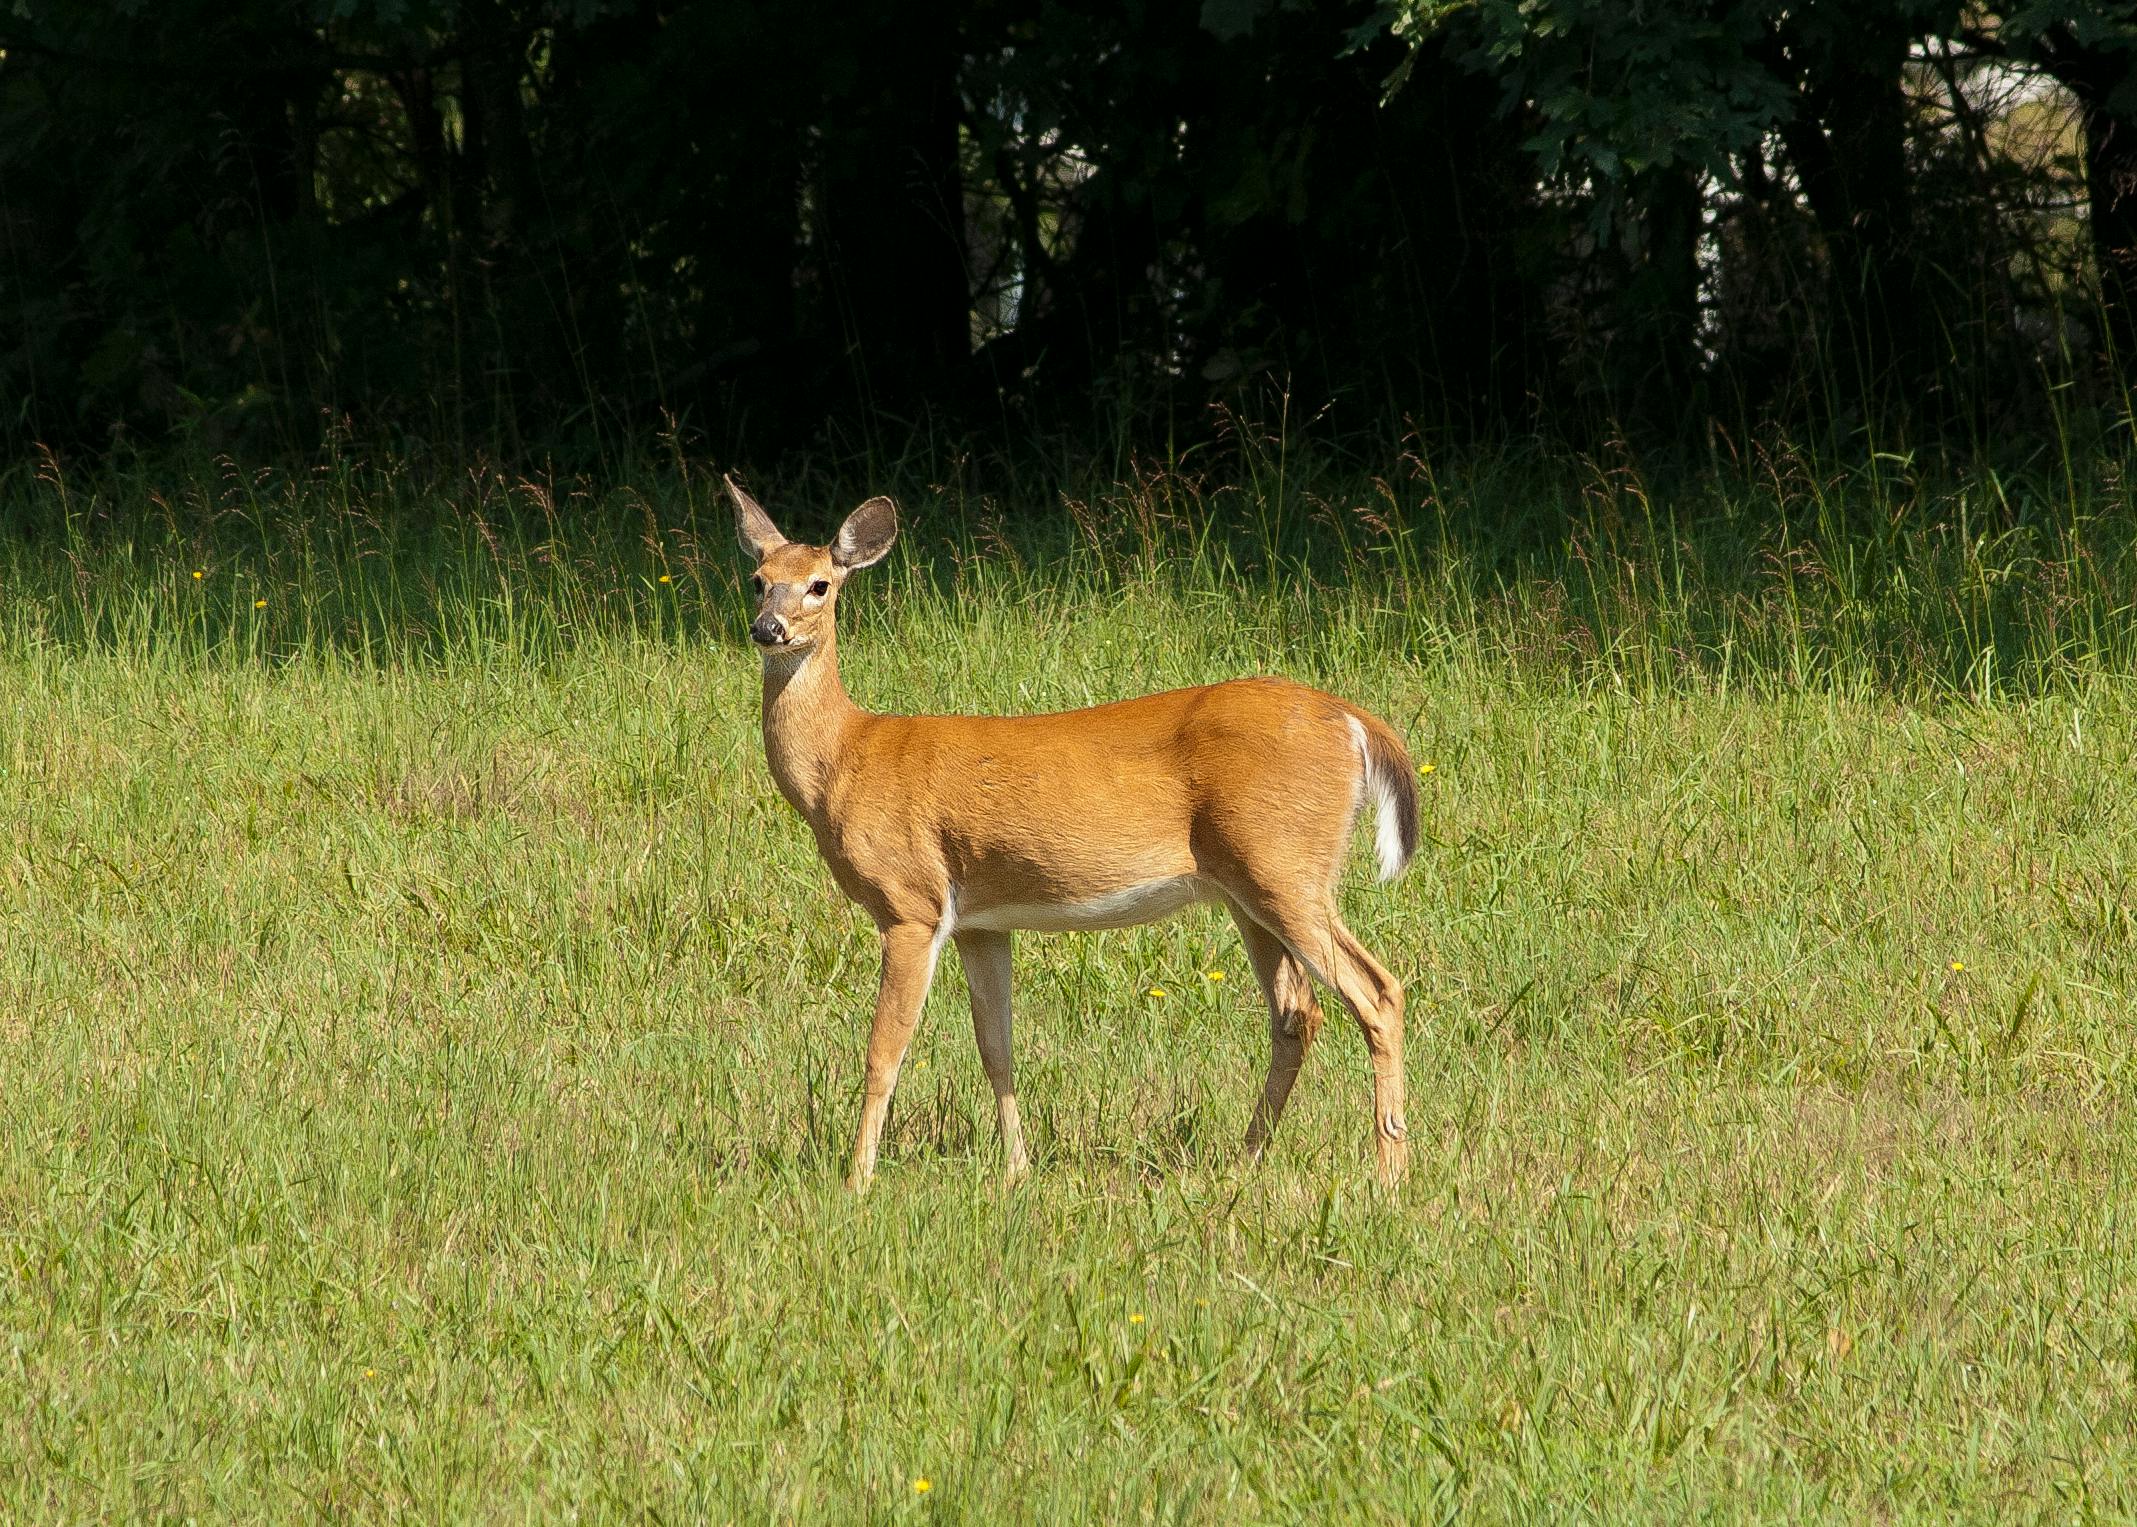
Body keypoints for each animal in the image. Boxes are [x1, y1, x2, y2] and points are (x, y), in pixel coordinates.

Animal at [730, 478, 1418, 1195]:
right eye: (757, 580)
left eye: (819, 585)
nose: (767, 628)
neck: (845, 758)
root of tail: (1355, 721)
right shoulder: (980, 920)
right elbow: (995, 1046)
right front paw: (1016, 1168)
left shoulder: (909, 903)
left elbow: (883, 1051)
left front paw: (856, 1179)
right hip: (1246, 887)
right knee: (1296, 1012)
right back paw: (1244, 1158)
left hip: (1285, 866)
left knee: (1377, 991)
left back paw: (1389, 1171)